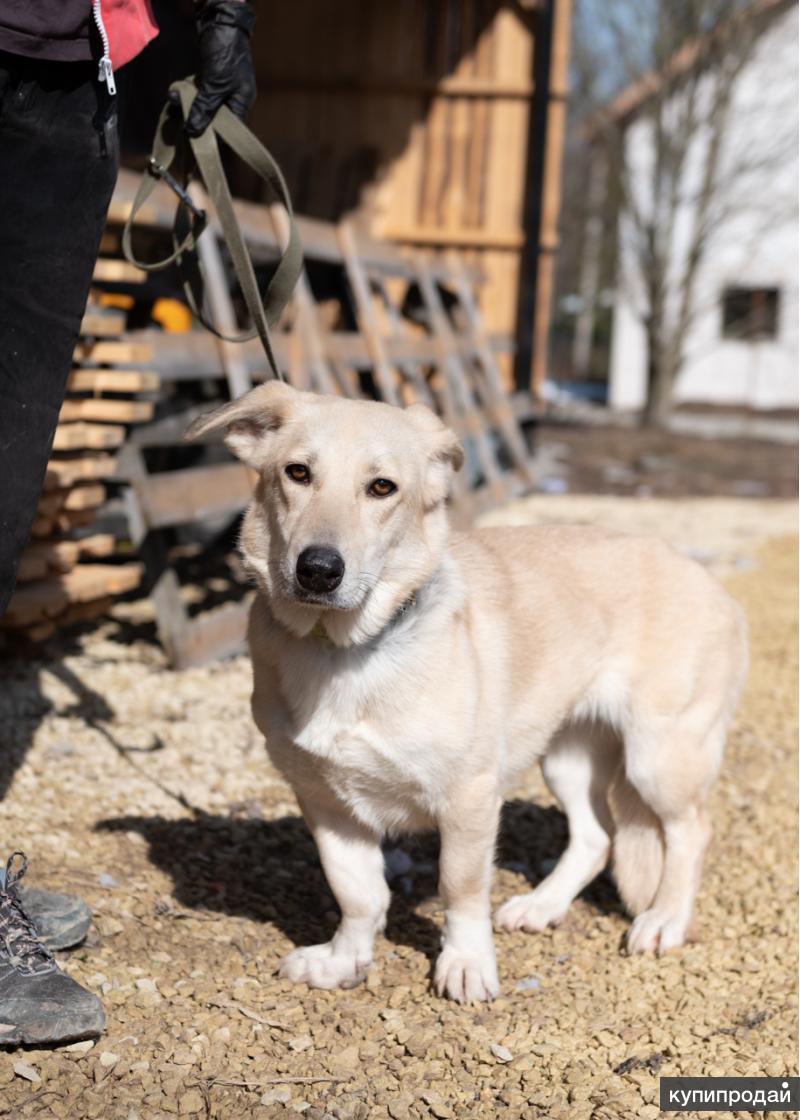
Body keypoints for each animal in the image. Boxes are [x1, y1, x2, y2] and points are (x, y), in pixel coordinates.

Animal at [187, 385, 748, 1008]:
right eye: (298, 472)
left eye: (382, 487)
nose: (319, 570)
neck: (344, 650)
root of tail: (708, 580)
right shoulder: (327, 804)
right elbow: (358, 893)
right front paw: (343, 960)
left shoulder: (468, 797)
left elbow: (460, 887)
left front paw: (465, 963)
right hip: (567, 757)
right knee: (596, 836)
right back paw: (543, 905)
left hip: (659, 756)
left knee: (690, 831)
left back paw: (665, 921)